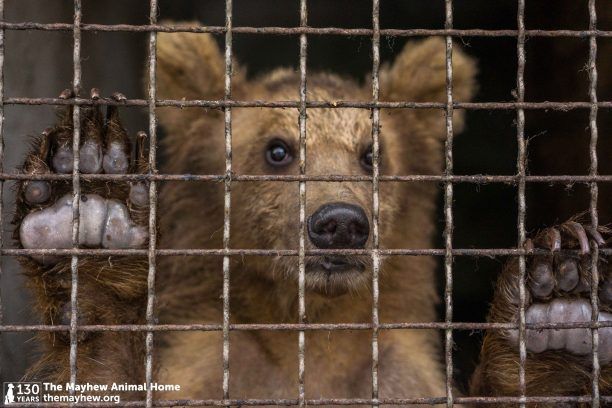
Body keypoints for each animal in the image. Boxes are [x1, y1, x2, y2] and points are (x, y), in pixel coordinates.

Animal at [13, 27, 612, 406]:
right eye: (277, 150)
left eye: (372, 154)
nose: (340, 223)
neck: (310, 334)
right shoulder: (210, 366)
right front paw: (92, 202)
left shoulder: (395, 373)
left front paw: (554, 302)